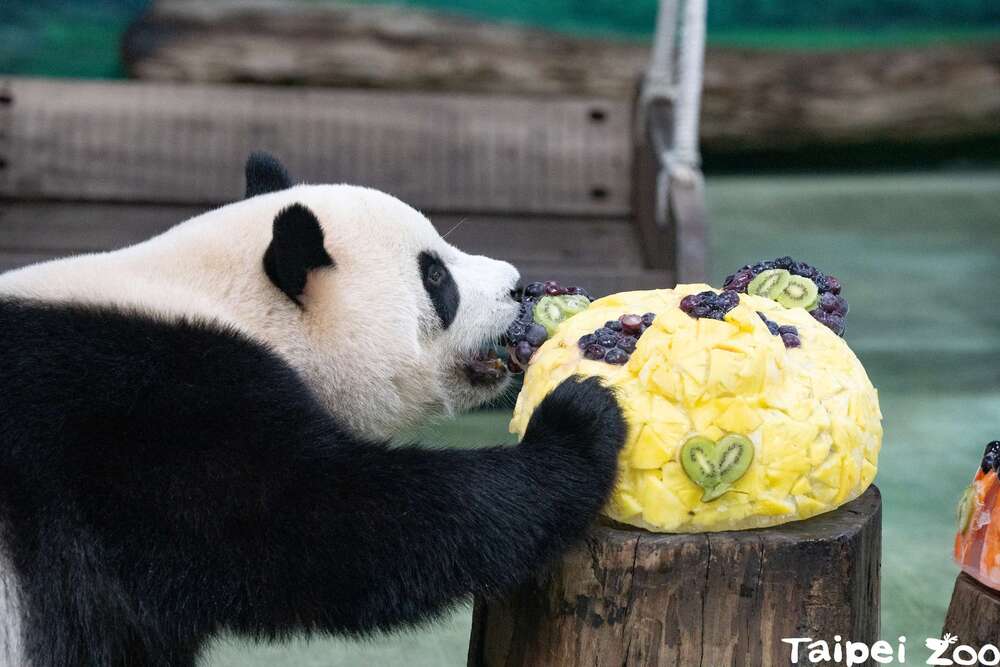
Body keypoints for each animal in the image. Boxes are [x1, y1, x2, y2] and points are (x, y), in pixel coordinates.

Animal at [0, 154, 624, 664]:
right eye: (435, 276)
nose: (517, 287)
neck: (228, 299)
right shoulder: (154, 423)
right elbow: (345, 530)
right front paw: (579, 422)